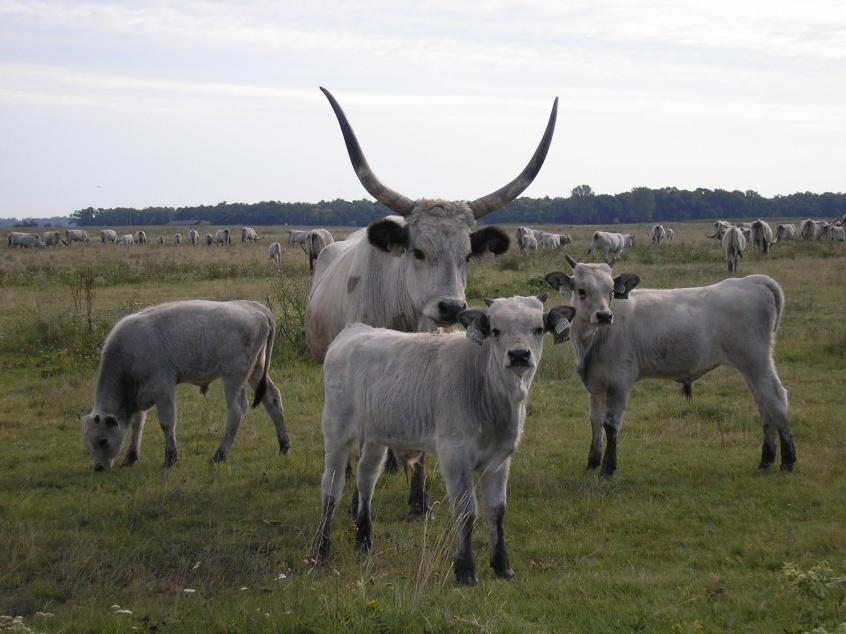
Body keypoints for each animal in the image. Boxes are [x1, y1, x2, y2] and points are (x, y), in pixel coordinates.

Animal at [80, 300, 292, 470]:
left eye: (103, 440)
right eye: (88, 444)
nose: (98, 468)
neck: (127, 353)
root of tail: (255, 307)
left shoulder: (163, 388)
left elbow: (167, 422)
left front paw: (170, 459)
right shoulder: (141, 395)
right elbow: (137, 424)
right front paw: (130, 457)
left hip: (233, 377)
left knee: (236, 411)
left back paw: (219, 455)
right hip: (256, 371)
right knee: (272, 398)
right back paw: (284, 446)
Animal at [314, 296, 580, 584]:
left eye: (538, 329)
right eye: (495, 331)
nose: (519, 354)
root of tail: (353, 331)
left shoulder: (500, 459)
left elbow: (497, 510)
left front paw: (502, 566)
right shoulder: (455, 454)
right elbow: (466, 510)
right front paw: (465, 570)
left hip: (376, 434)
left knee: (366, 479)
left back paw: (364, 540)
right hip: (336, 428)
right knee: (332, 487)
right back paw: (321, 551)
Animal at [548, 254, 800, 476]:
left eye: (611, 291)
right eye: (581, 290)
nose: (604, 316)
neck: (592, 341)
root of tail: (750, 280)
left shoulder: (620, 382)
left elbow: (611, 425)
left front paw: (608, 467)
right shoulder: (596, 385)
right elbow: (595, 422)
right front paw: (592, 462)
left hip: (756, 360)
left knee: (776, 398)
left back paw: (787, 461)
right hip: (751, 368)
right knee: (764, 404)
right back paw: (766, 460)